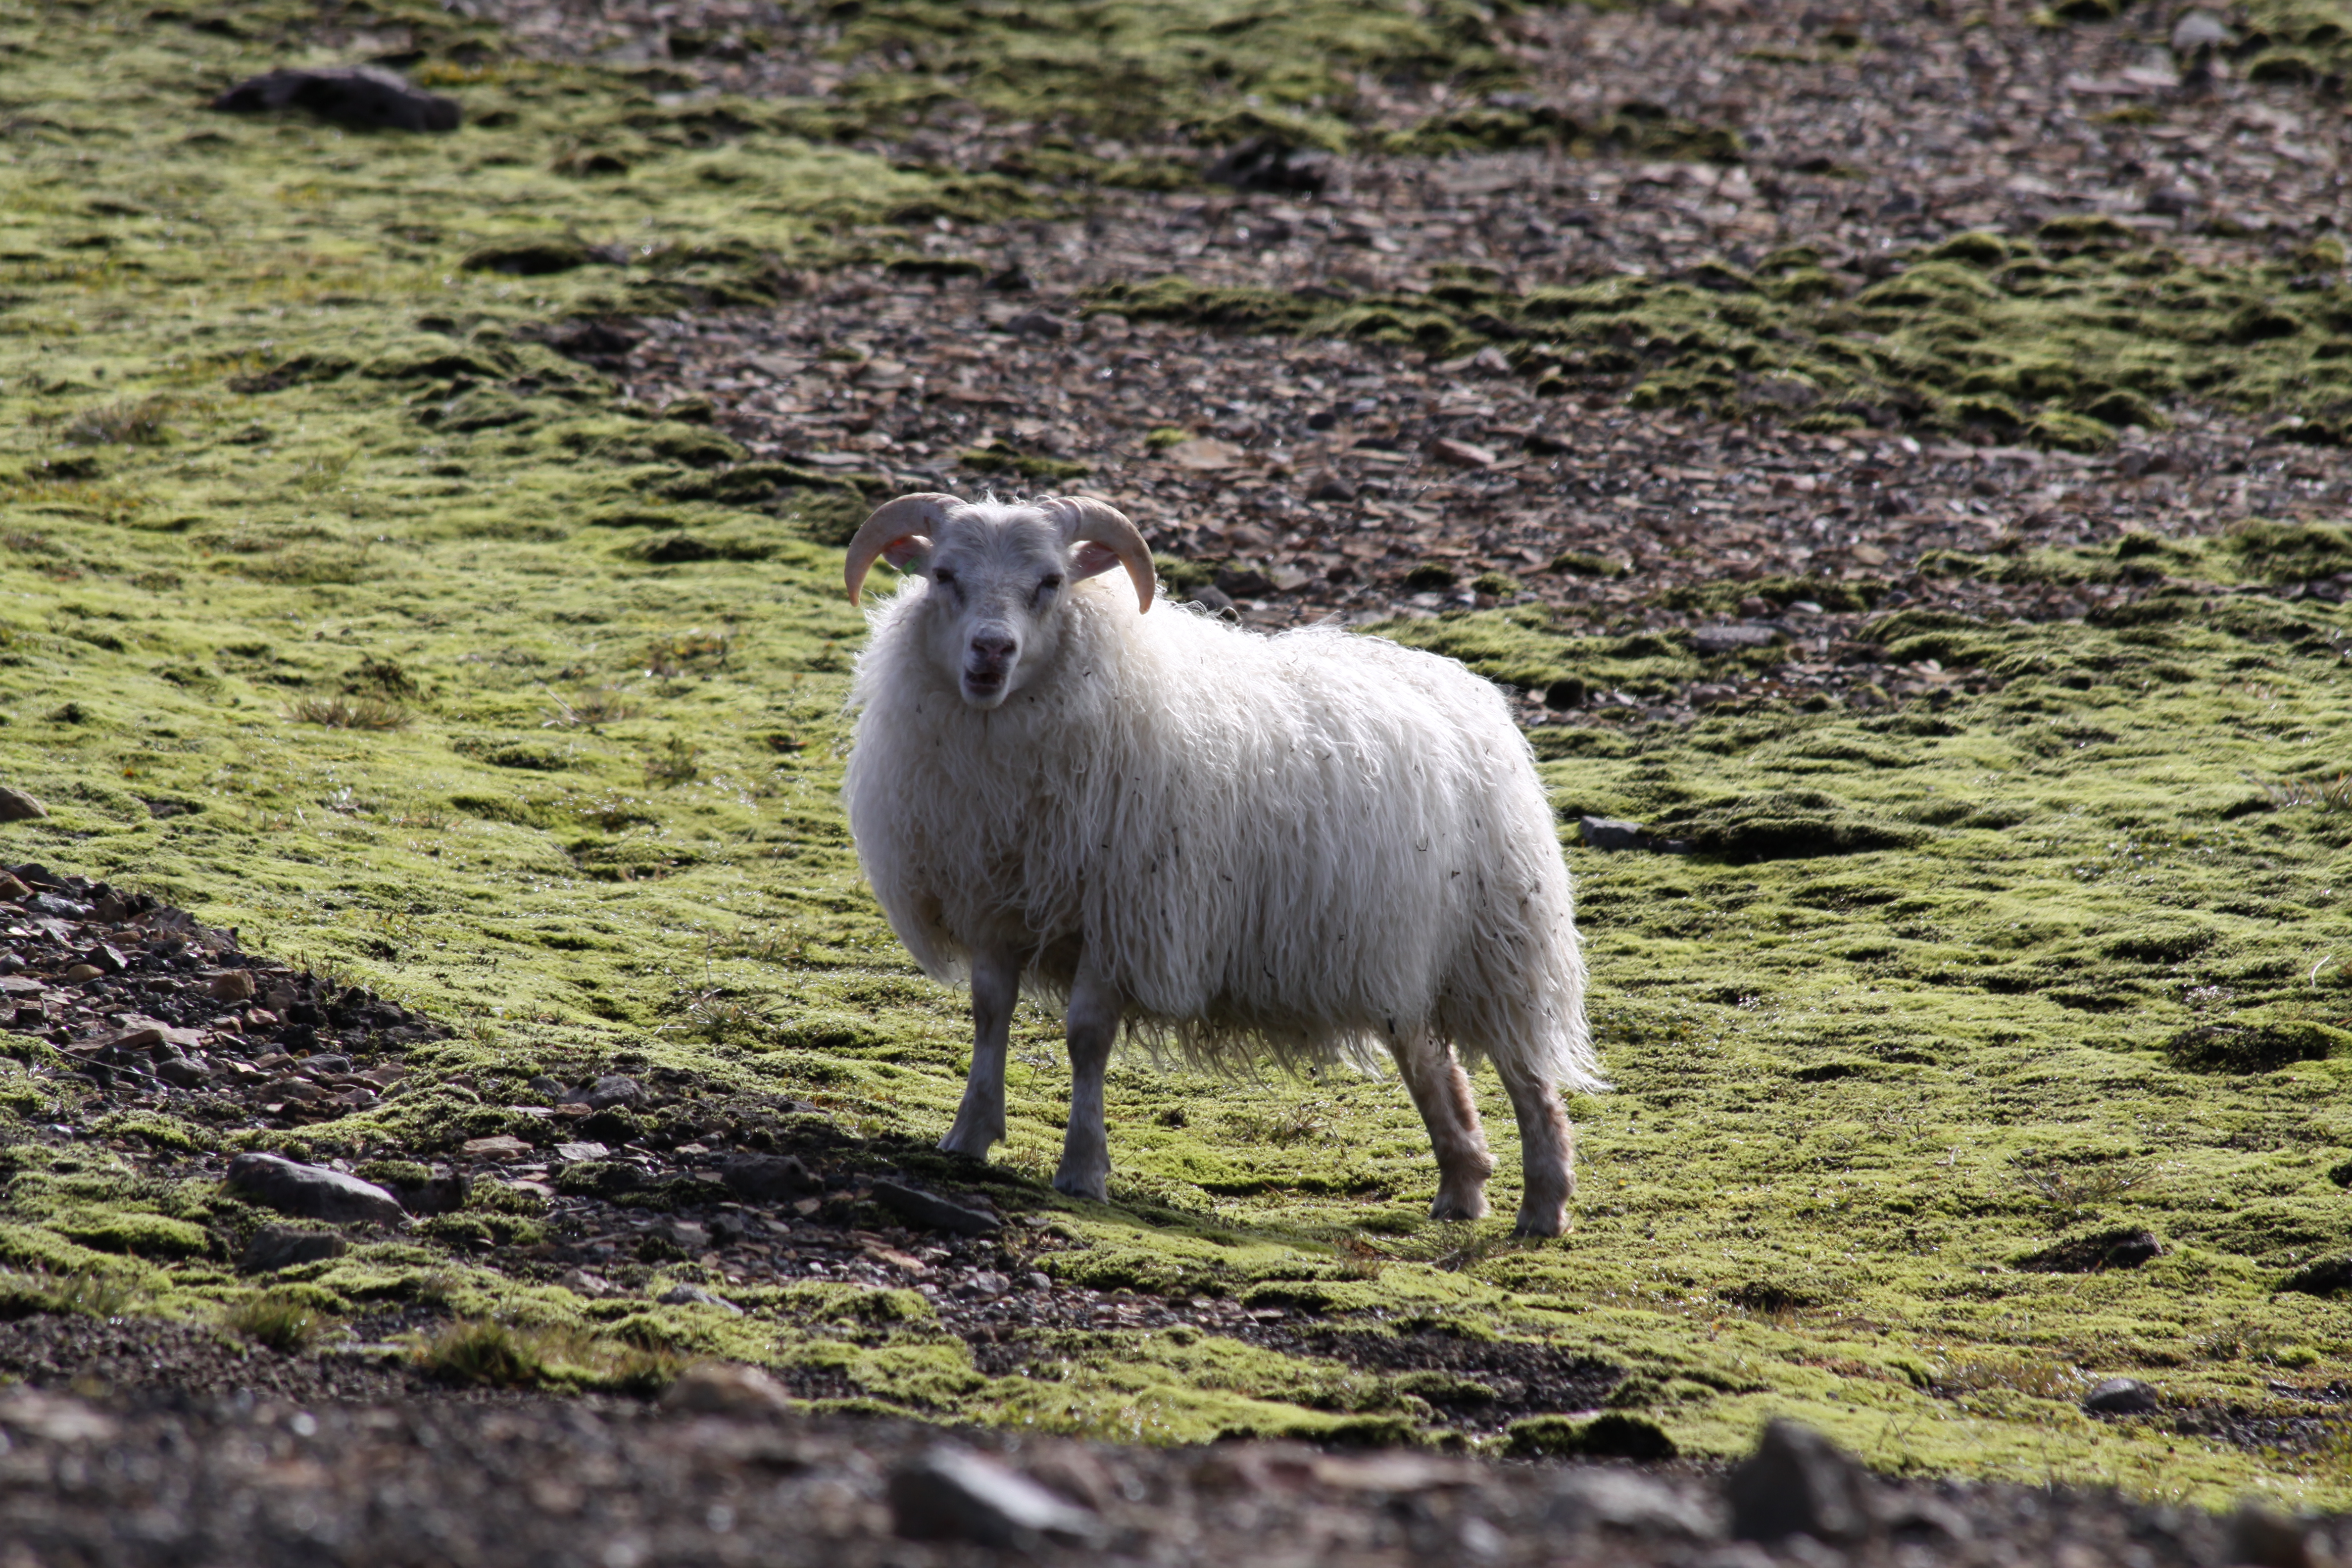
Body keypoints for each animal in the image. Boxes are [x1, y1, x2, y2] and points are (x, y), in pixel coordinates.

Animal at [840, 492, 1602, 1236]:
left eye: (1051, 582)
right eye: (943, 575)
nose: (991, 650)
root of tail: (1468, 689)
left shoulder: (1126, 918)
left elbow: (1087, 1038)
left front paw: (1084, 1170)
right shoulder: (994, 903)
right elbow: (988, 1013)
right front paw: (968, 1136)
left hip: (1498, 945)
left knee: (1528, 1075)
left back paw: (1544, 1207)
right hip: (1398, 949)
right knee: (1432, 1062)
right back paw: (1463, 1187)